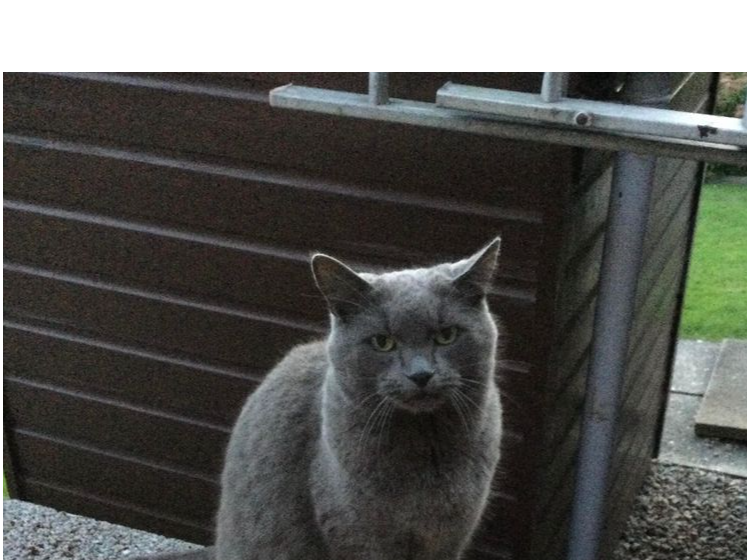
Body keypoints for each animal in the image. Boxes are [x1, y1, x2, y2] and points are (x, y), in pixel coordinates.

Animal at [156, 238, 506, 556]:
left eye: (447, 335)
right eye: (383, 342)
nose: (420, 375)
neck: (426, 447)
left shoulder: (451, 538)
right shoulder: (354, 535)